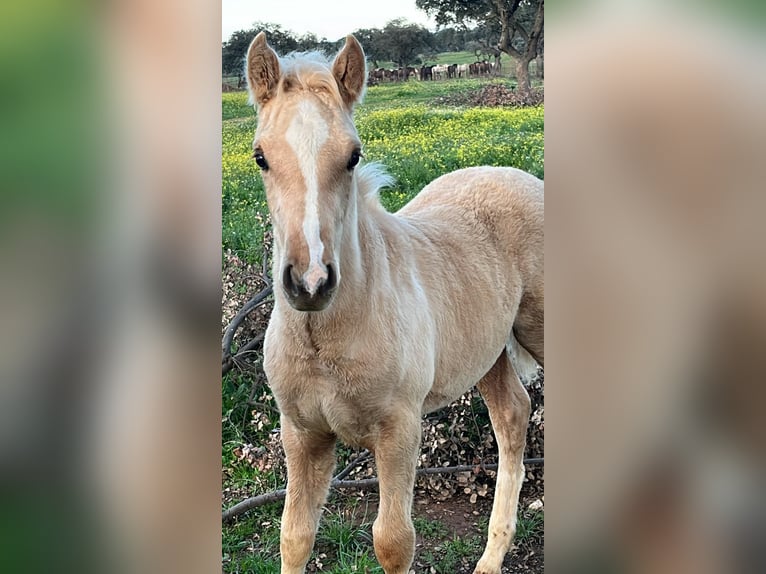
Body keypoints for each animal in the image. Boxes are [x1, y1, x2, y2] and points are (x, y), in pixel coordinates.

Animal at [246, 32, 544, 574]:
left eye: (353, 156)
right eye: (260, 156)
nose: (311, 282)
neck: (327, 339)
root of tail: (516, 172)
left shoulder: (399, 430)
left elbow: (393, 541)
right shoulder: (301, 433)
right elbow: (294, 536)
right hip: (487, 351)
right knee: (513, 416)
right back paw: (491, 556)